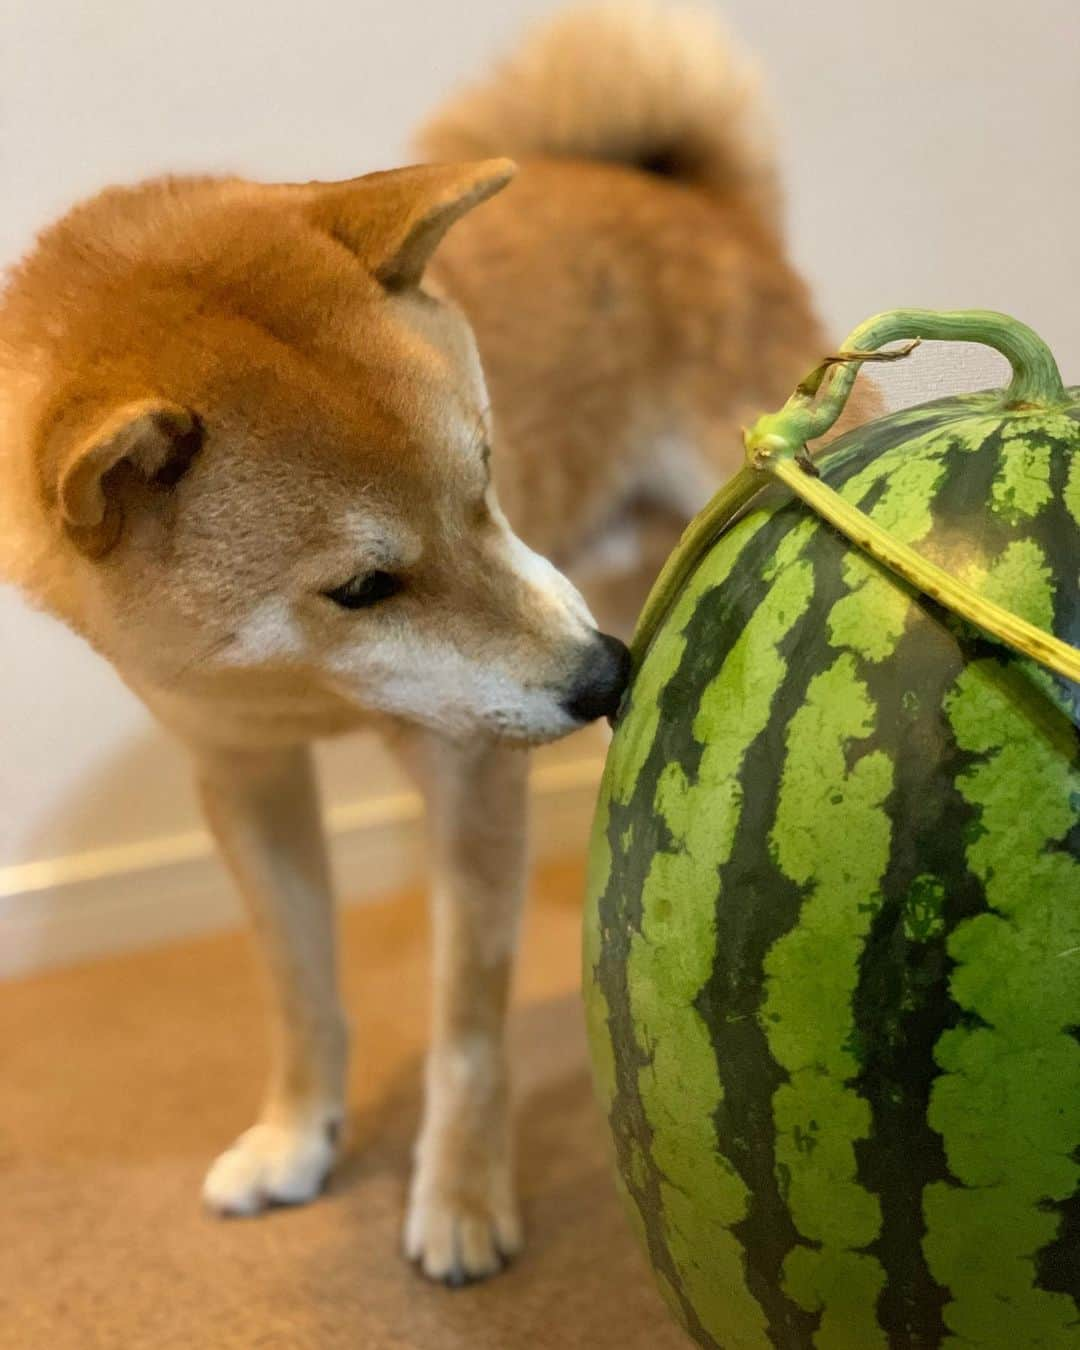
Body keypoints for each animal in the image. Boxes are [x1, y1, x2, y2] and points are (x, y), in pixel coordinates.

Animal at [0, 0, 874, 1285]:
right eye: (363, 585)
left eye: (486, 476)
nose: (604, 676)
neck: (305, 690)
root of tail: (676, 189)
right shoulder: (242, 774)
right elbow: (299, 990)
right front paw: (296, 1136)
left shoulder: (468, 774)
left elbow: (467, 1018)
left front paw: (460, 1194)